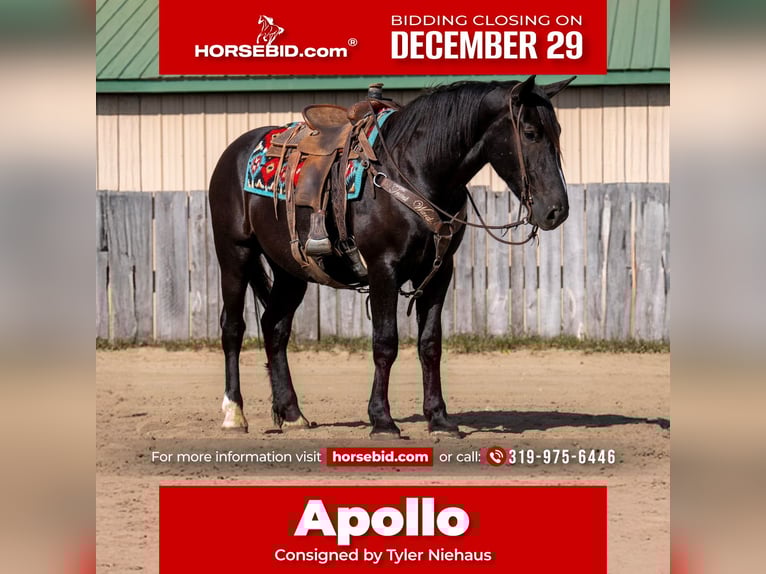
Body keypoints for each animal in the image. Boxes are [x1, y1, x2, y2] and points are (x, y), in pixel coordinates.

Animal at [208, 75, 574, 437]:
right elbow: (385, 343)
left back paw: (292, 413)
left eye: (558, 131)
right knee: (233, 327)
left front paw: (439, 418)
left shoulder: (439, 271)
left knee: (275, 327)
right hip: (235, 254)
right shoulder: (383, 268)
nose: (557, 210)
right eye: (530, 132)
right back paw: (234, 413)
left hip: (291, 269)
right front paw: (382, 420)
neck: (415, 171)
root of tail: (234, 152)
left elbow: (430, 344)